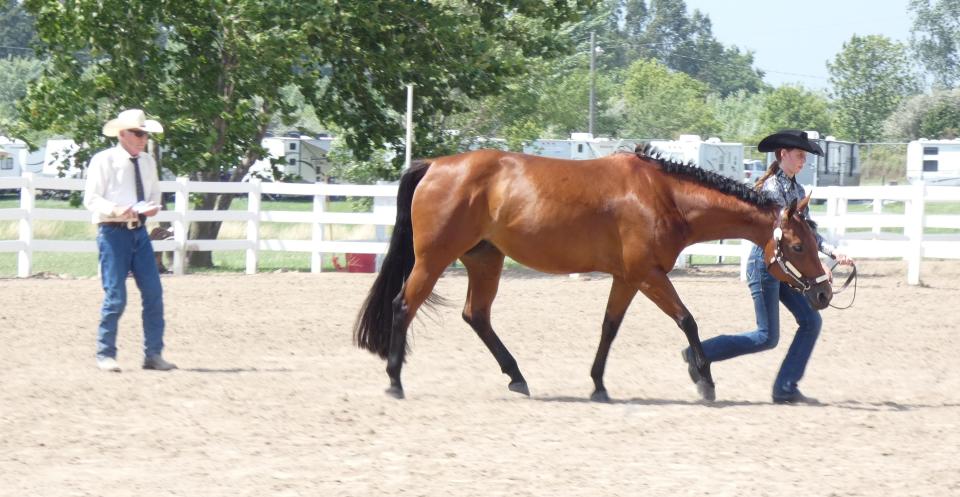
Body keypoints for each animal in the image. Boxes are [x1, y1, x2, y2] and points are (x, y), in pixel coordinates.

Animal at [352, 145, 832, 402]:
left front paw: (598, 384)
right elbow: (687, 320)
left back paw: (517, 377)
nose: (823, 294)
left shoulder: (627, 278)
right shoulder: (648, 274)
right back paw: (395, 380)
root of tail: (434, 164)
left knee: (477, 316)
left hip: (485, 261)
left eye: (814, 240)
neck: (663, 194)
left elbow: (609, 328)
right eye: (796, 245)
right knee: (403, 306)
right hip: (434, 260)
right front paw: (706, 381)